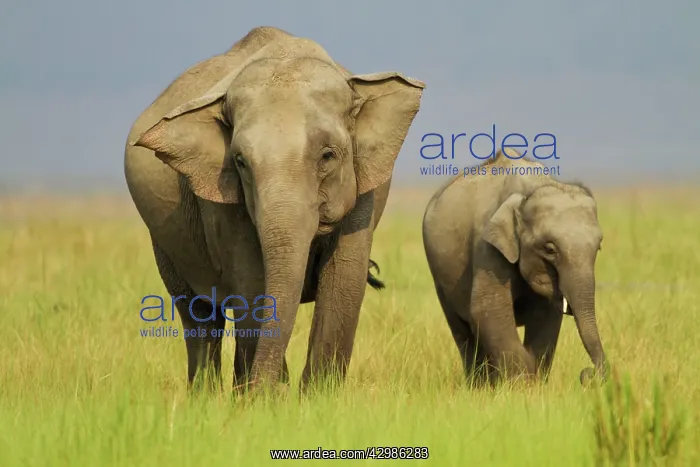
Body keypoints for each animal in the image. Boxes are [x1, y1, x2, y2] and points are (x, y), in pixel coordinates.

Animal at [124, 26, 425, 392]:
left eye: (328, 156)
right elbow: (252, 282)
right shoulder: (221, 200)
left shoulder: (367, 189)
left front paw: (316, 397)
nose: (265, 387)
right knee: (198, 313)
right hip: (166, 242)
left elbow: (344, 279)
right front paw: (266, 398)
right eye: (240, 162)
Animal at [422, 148, 608, 386]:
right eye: (550, 249)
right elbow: (488, 311)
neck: (530, 190)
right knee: (463, 331)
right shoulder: (487, 246)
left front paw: (533, 383)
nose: (587, 374)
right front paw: (522, 384)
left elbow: (545, 317)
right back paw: (479, 386)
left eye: (598, 247)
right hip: (439, 276)